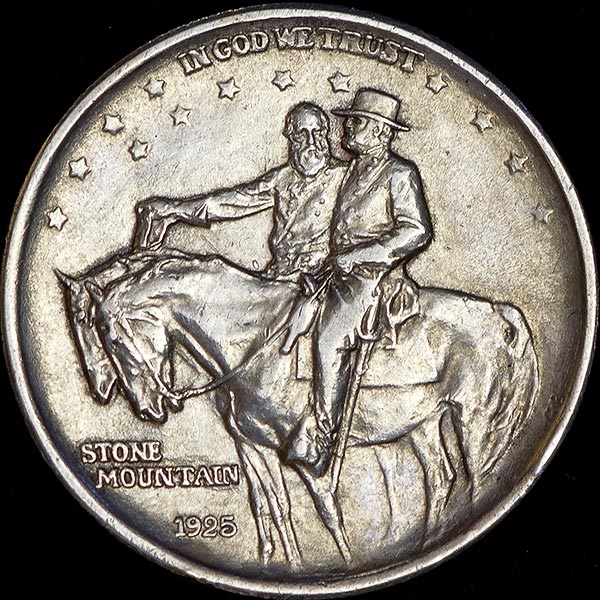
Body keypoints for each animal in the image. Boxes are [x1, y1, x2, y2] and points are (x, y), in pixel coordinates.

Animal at [58, 251, 539, 567]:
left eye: (106, 335)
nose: (145, 408)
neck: (256, 340)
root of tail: (504, 316)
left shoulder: (310, 459)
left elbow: (328, 515)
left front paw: (341, 564)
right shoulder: (252, 445)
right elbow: (272, 504)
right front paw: (281, 560)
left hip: (478, 430)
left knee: (476, 482)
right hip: (420, 425)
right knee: (440, 480)